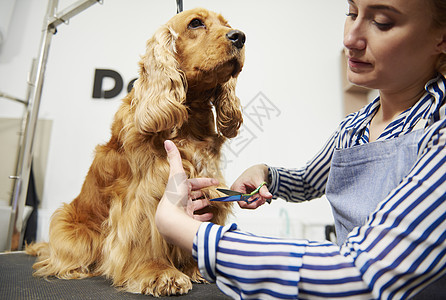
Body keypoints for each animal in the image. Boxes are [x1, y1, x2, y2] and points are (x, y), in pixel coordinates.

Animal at [26, 8, 246, 296]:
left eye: (226, 24)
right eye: (196, 23)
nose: (240, 36)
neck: (189, 121)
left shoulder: (207, 185)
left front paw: (195, 267)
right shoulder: (147, 192)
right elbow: (147, 235)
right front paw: (159, 273)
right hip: (69, 225)